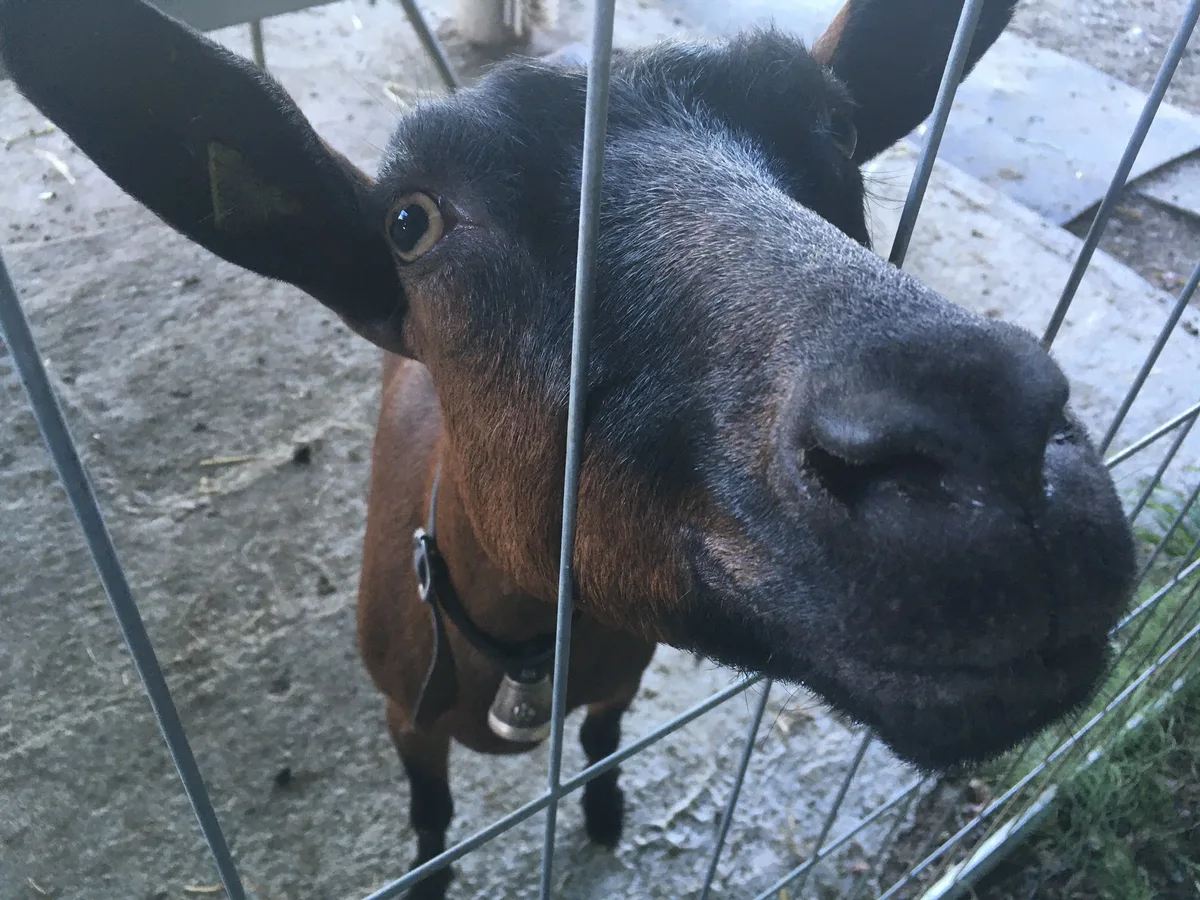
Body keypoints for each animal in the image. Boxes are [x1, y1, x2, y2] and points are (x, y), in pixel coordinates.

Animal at [0, 1, 1137, 897]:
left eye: (842, 129)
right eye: (410, 222)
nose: (987, 433)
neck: (519, 644)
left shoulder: (620, 670)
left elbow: (598, 744)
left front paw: (601, 816)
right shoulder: (404, 716)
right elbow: (429, 813)